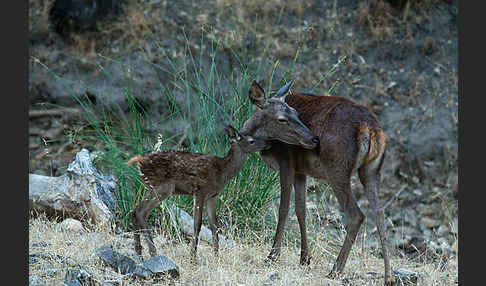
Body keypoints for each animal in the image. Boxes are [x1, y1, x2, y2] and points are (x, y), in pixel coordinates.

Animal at [241, 80, 392, 286]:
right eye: (283, 118)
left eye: (295, 114)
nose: (313, 139)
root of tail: (371, 129)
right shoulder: (300, 171)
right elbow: (301, 210)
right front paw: (305, 259)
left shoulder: (286, 162)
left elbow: (283, 208)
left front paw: (272, 256)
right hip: (372, 170)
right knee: (380, 213)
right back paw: (388, 276)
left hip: (337, 168)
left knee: (357, 214)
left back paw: (335, 270)